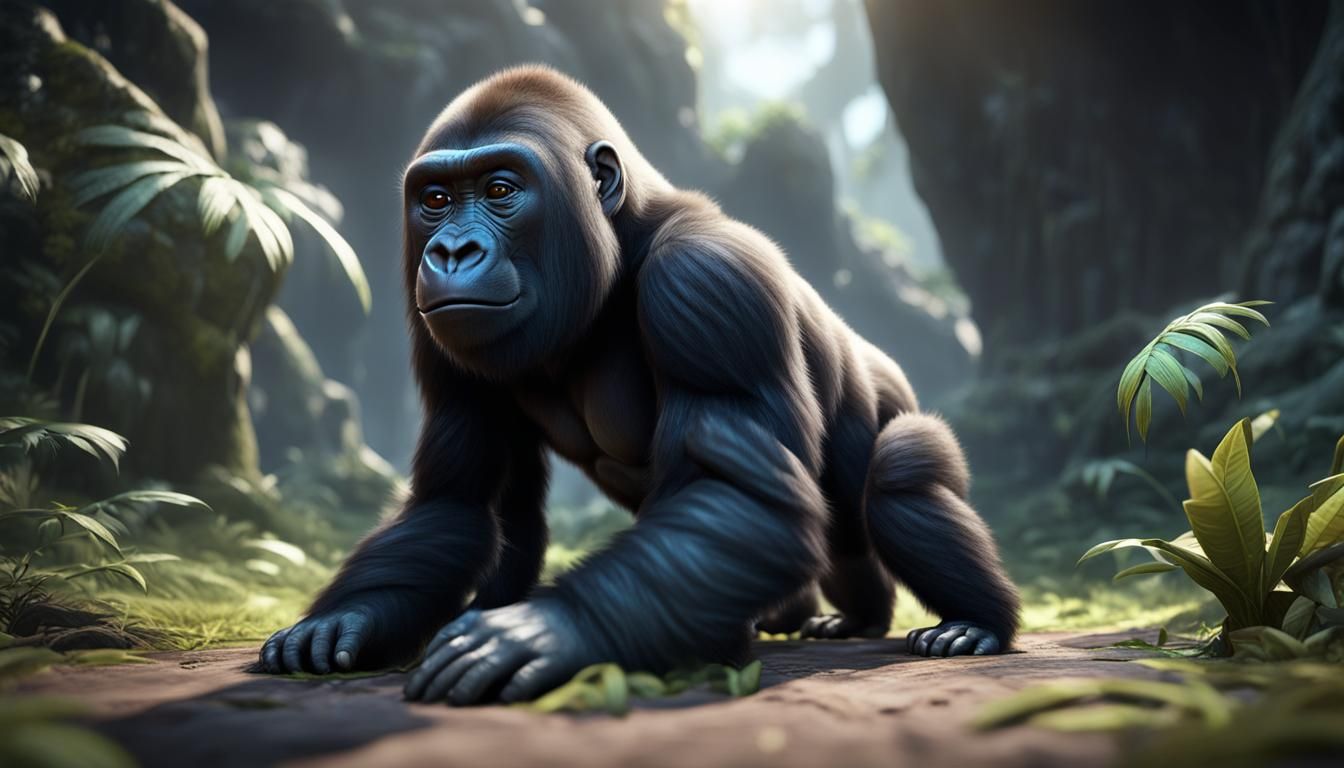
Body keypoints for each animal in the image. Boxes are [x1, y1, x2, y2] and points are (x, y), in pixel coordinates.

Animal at [256, 65, 1021, 705]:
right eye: (436, 200)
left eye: (501, 190)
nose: (450, 251)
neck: (618, 247)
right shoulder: (440, 340)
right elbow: (456, 503)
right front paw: (350, 617)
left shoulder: (710, 281)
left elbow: (740, 497)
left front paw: (554, 628)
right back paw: (848, 614)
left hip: (888, 391)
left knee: (899, 469)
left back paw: (971, 622)